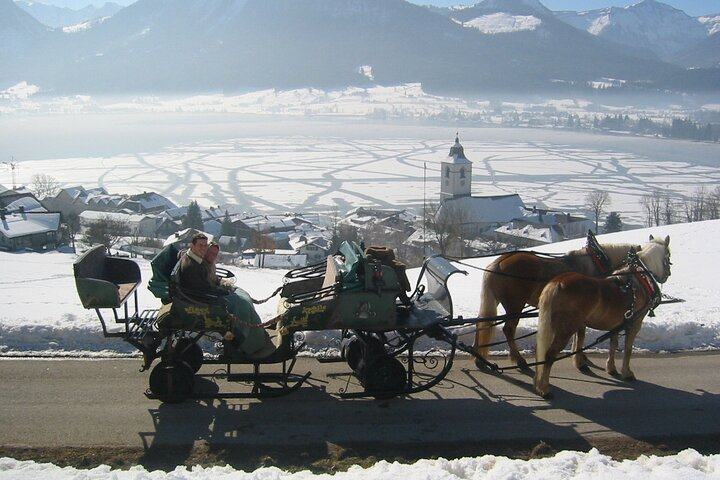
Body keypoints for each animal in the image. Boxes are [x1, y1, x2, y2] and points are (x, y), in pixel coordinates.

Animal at [476, 238, 640, 370]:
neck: (596, 261)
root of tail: (498, 263)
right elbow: (580, 334)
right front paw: (580, 358)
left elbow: (578, 334)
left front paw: (580, 356)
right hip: (515, 305)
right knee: (508, 330)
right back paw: (519, 360)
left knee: (482, 322)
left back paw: (480, 360)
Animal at [532, 235, 672, 398]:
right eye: (668, 255)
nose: (667, 275)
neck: (639, 280)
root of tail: (557, 283)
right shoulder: (635, 322)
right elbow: (628, 348)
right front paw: (627, 373)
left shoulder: (617, 324)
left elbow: (613, 344)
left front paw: (611, 368)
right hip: (565, 329)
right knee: (549, 355)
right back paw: (544, 389)